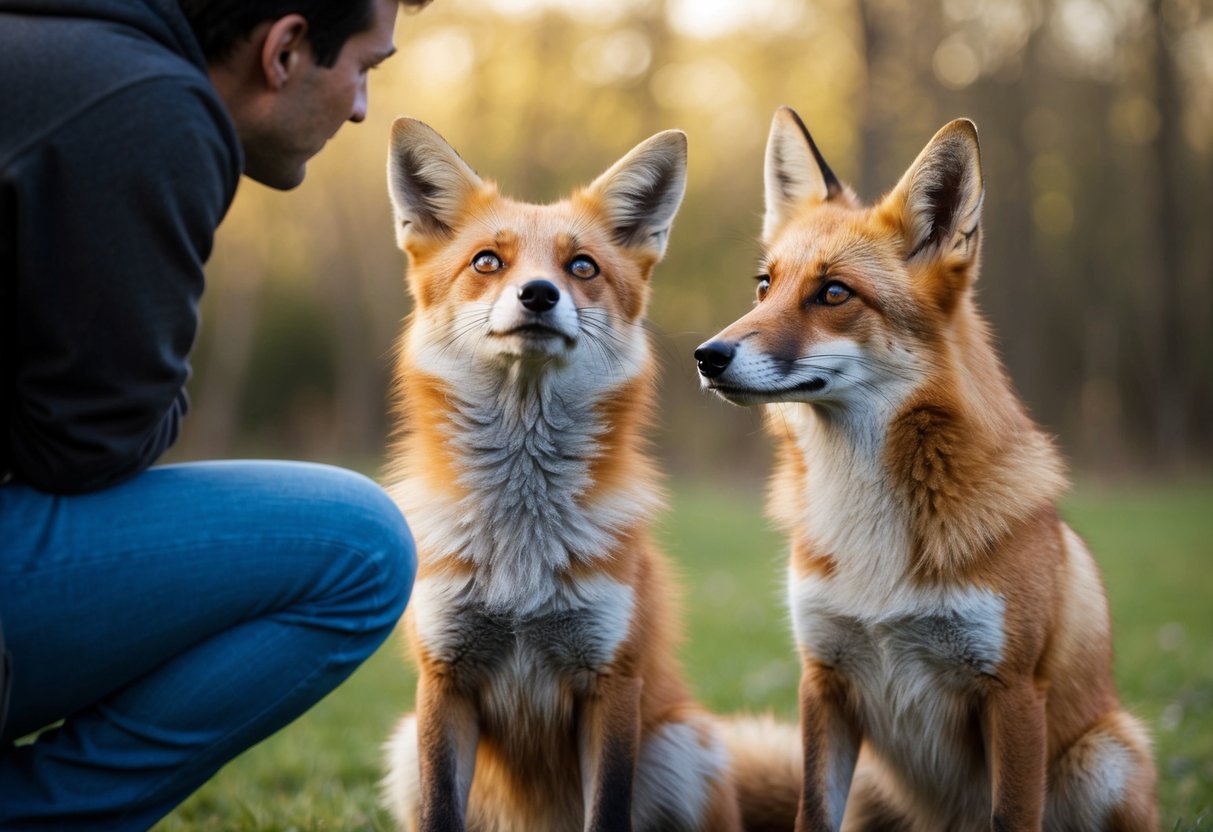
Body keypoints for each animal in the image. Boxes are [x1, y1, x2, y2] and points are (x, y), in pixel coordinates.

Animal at [379, 118, 800, 832]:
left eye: (582, 267)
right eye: (487, 261)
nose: (538, 294)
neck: (521, 553)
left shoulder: (611, 682)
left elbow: (606, 811)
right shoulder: (444, 679)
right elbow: (441, 813)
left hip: (683, 747)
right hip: (406, 746)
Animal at [694, 106, 1159, 831]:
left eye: (833, 292)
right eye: (764, 285)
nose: (707, 356)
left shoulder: (1013, 691)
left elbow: (1012, 816)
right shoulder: (824, 678)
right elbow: (810, 814)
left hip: (1104, 756)